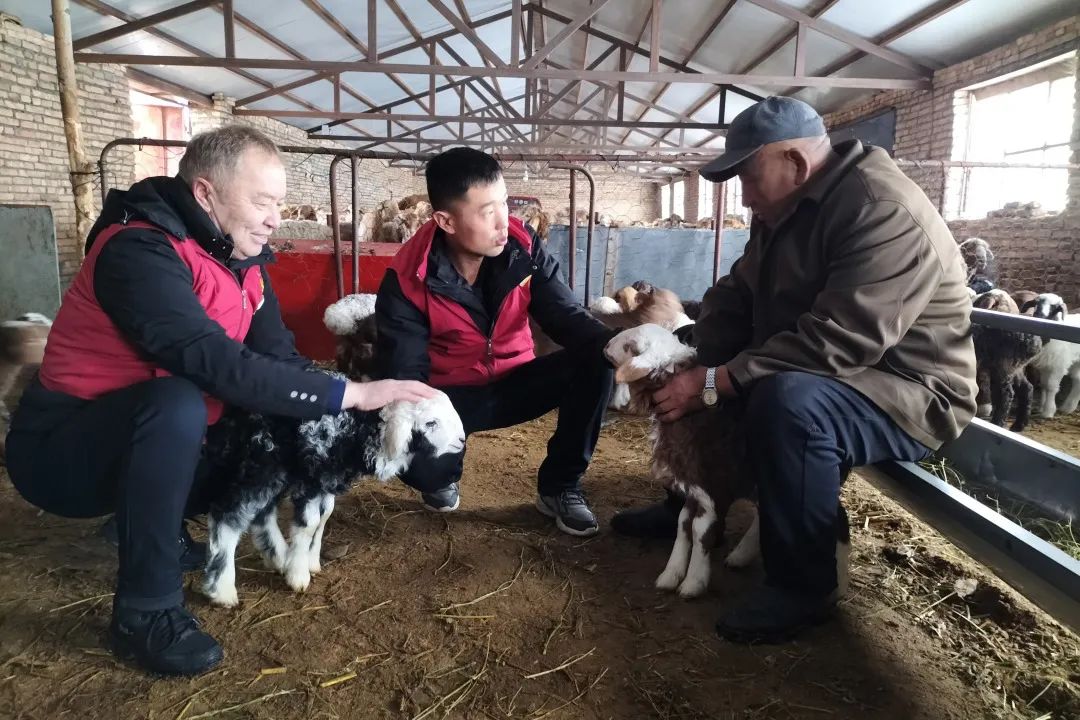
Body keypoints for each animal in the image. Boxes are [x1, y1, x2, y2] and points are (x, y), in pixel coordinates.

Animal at [200, 389, 466, 607]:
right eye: (430, 423)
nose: (462, 440)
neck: (354, 429)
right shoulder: (310, 481)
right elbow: (308, 525)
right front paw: (298, 575)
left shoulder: (325, 483)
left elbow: (323, 517)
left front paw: (310, 561)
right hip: (261, 463)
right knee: (227, 516)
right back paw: (223, 590)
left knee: (262, 514)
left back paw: (279, 557)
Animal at [604, 323, 850, 599]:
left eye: (630, 346)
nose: (607, 345)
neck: (695, 417)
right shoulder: (693, 486)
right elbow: (682, 524)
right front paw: (671, 574)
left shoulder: (713, 489)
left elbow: (700, 532)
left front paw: (693, 583)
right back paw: (741, 556)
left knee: (837, 517)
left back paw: (839, 582)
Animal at [972, 289, 1042, 431]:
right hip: (1014, 367)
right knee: (1026, 388)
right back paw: (1018, 425)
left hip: (1001, 367)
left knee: (1005, 395)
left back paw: (997, 423)